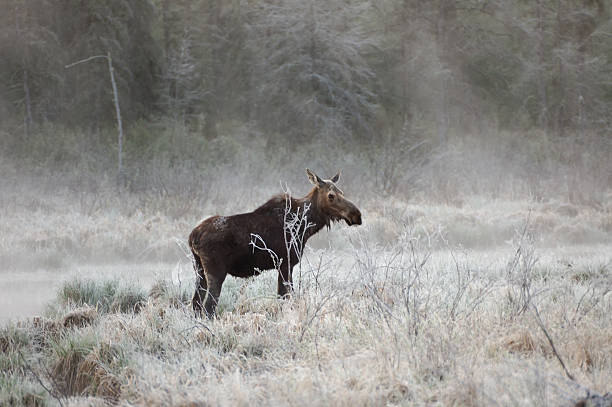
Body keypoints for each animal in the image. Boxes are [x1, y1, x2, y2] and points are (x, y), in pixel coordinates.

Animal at [189, 169, 360, 318]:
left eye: (341, 192)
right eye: (331, 195)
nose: (356, 215)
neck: (304, 226)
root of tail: (193, 237)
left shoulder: (285, 265)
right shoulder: (286, 263)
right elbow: (285, 298)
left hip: (200, 270)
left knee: (196, 304)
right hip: (216, 271)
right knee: (208, 307)